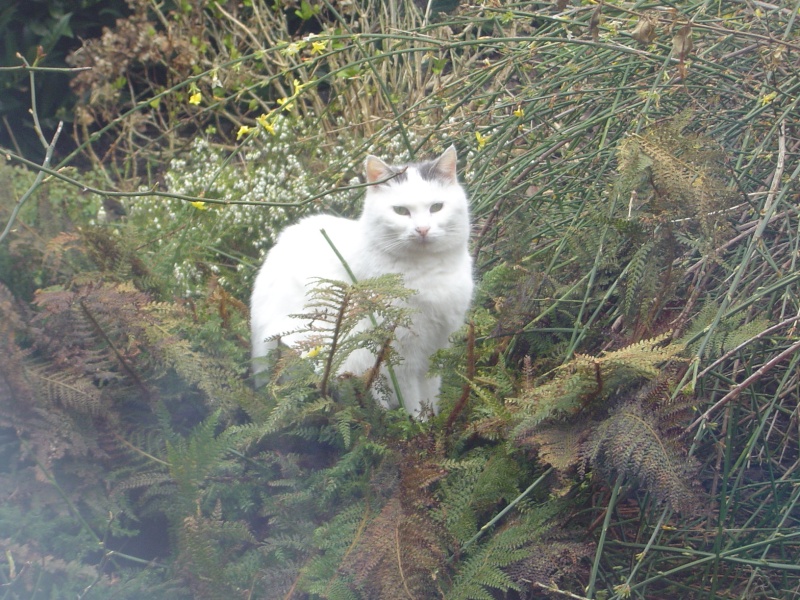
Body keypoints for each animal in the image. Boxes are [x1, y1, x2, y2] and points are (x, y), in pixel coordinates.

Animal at [250, 145, 472, 418]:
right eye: (401, 211)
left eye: (436, 207)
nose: (422, 229)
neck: (428, 270)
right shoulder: (400, 358)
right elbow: (412, 400)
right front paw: (419, 424)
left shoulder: (436, 350)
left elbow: (431, 396)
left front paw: (434, 422)